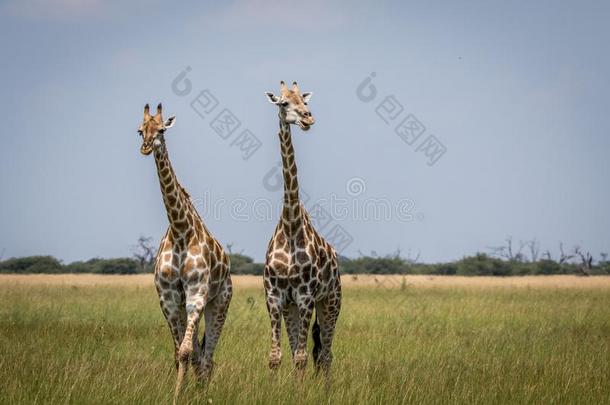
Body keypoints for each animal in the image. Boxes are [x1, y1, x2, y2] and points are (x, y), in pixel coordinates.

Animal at [135, 102, 230, 400]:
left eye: (162, 129)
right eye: (140, 129)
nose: (146, 146)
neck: (179, 231)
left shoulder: (197, 293)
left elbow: (187, 351)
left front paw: (181, 396)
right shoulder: (167, 297)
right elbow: (180, 353)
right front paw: (179, 393)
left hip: (219, 302)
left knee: (208, 356)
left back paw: (204, 392)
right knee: (199, 354)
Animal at [262, 81, 342, 378]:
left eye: (304, 100)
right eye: (284, 103)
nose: (308, 118)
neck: (291, 226)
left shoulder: (307, 295)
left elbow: (301, 357)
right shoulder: (275, 297)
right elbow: (276, 356)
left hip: (331, 301)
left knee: (326, 354)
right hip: (292, 307)